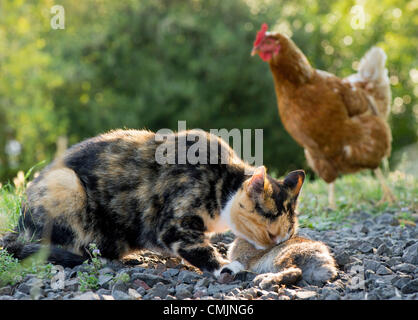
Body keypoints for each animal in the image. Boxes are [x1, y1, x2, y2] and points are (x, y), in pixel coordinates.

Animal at [1, 127, 306, 276]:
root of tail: (18, 227)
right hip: (65, 183)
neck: (222, 184)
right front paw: (224, 266)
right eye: (271, 234)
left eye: (286, 238)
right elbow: (196, 246)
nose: (274, 248)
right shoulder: (173, 224)